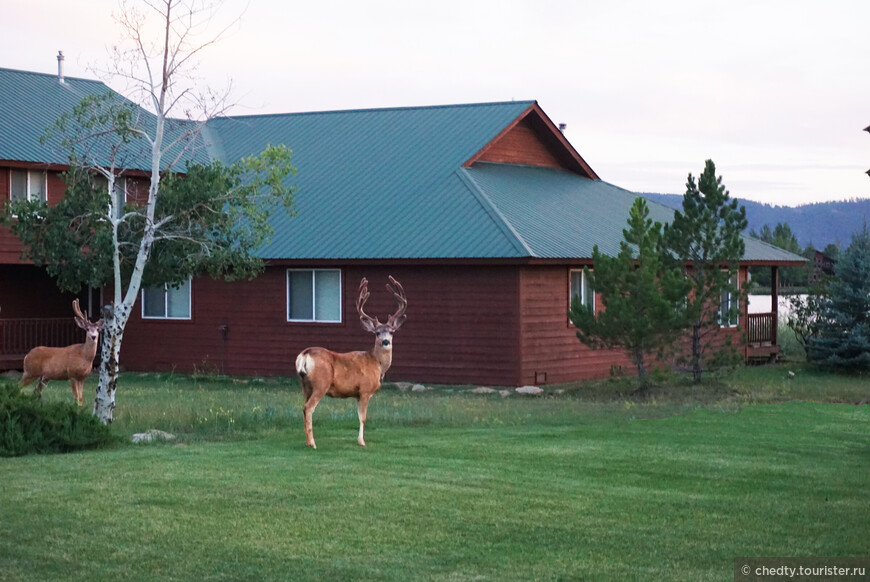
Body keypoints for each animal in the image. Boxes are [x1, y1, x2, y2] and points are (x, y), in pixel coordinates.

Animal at [296, 276, 408, 450]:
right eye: (377, 333)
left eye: (391, 331)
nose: (385, 341)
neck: (377, 363)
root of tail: (305, 354)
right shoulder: (365, 390)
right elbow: (363, 417)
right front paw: (362, 442)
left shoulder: (356, 393)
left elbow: (358, 416)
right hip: (321, 384)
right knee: (308, 408)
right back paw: (313, 444)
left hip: (305, 385)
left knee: (303, 408)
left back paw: (308, 442)